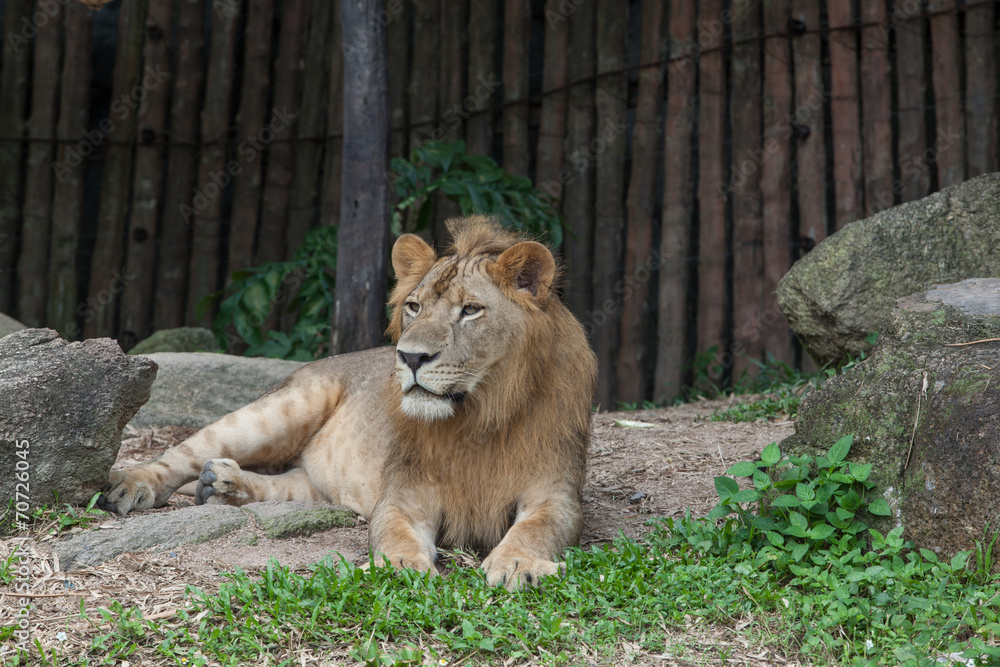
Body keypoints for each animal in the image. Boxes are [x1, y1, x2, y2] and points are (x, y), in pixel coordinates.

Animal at [100, 216, 597, 590]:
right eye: (414, 307)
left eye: (471, 310)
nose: (411, 357)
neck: (480, 414)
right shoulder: (404, 492)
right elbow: (393, 530)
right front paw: (398, 567)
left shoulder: (556, 492)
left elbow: (536, 526)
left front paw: (518, 564)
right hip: (284, 407)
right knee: (182, 454)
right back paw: (131, 486)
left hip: (316, 480)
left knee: (288, 485)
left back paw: (222, 485)